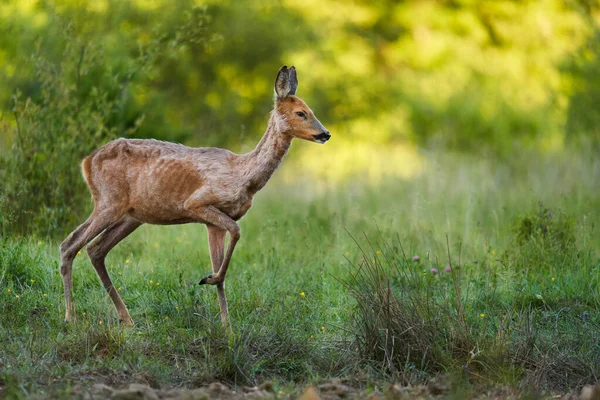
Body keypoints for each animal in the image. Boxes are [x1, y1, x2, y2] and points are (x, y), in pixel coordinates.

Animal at [58, 66, 330, 328]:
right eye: (301, 113)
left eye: (311, 110)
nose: (325, 133)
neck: (245, 177)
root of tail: (86, 162)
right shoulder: (197, 203)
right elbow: (236, 233)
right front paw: (209, 280)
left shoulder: (213, 223)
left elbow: (222, 265)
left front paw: (227, 327)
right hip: (108, 202)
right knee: (70, 244)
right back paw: (71, 318)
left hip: (130, 216)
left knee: (95, 249)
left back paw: (126, 319)